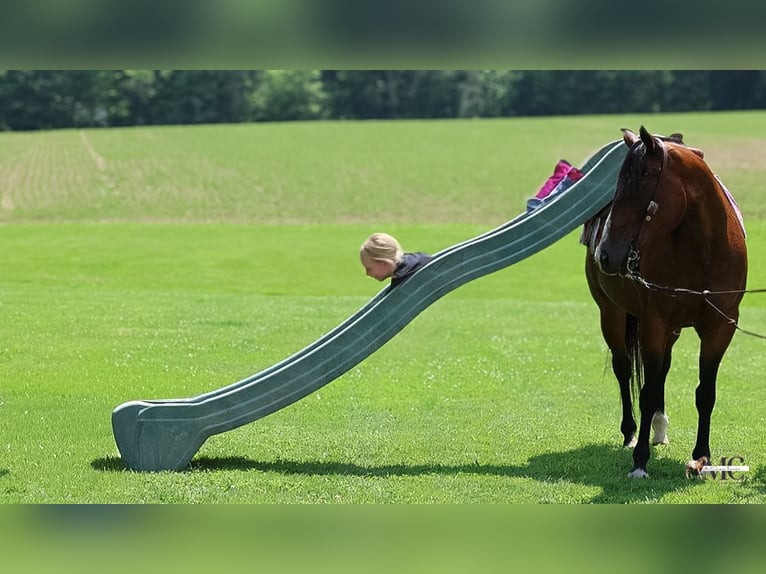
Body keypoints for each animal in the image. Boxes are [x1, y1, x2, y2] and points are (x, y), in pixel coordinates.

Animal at [582, 126, 748, 478]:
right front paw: (640, 461)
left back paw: (659, 427)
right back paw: (631, 433)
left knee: (662, 372)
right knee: (624, 370)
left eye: (643, 179)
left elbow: (705, 393)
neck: (703, 250)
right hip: (612, 315)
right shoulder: (654, 322)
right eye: (619, 183)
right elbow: (645, 391)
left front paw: (701, 457)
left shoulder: (720, 327)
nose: (606, 253)